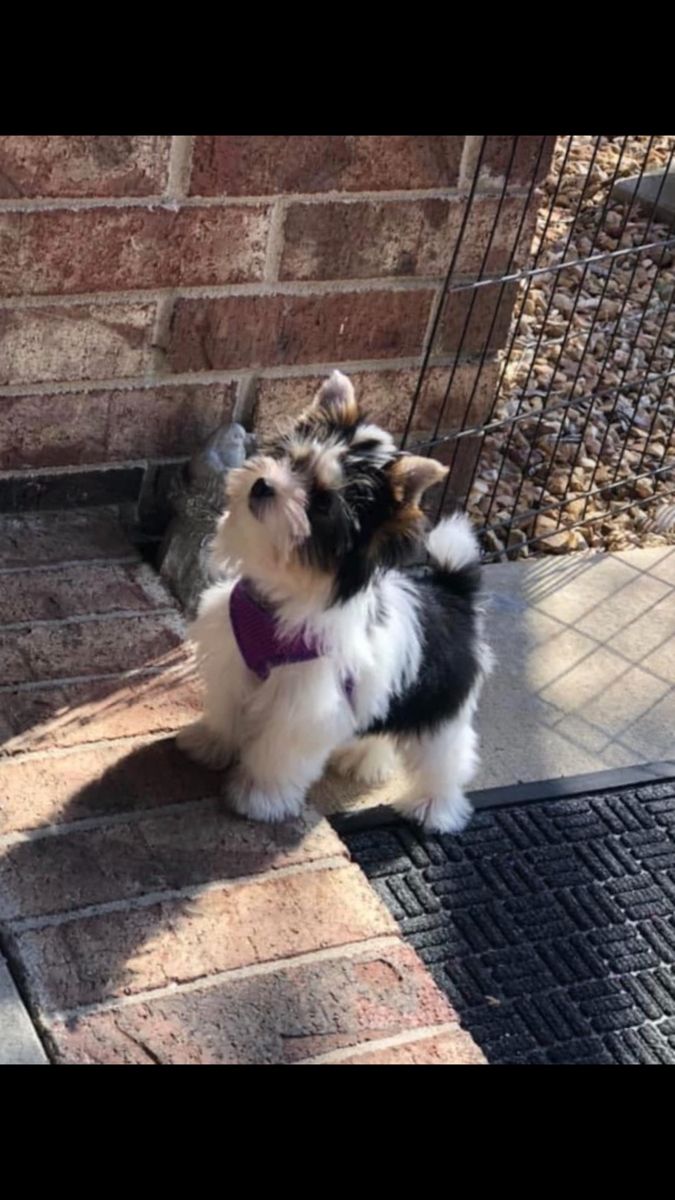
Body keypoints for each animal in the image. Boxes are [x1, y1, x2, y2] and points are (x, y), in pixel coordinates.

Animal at [176, 369, 492, 830]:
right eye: (291, 460)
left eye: (323, 502)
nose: (263, 484)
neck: (283, 594)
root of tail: (453, 591)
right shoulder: (232, 659)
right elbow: (226, 707)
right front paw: (209, 744)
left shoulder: (306, 701)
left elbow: (279, 752)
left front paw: (260, 797)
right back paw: (365, 759)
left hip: (439, 705)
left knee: (445, 755)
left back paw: (436, 807)